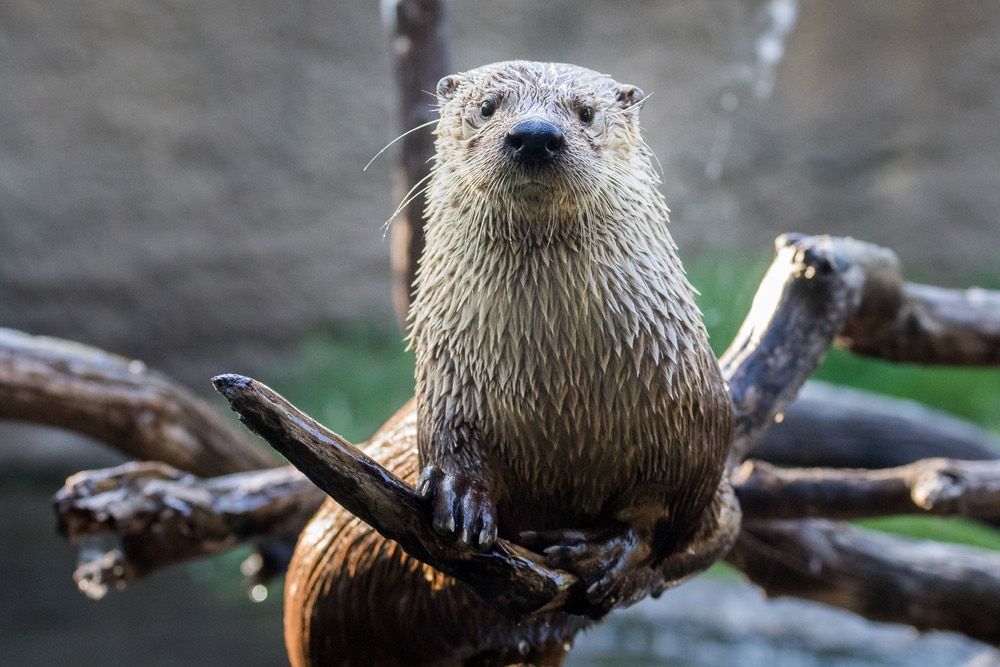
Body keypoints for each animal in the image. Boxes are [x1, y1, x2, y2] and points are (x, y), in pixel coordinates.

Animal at [282, 62, 736, 667]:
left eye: (586, 112)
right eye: (488, 107)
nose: (536, 135)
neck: (562, 396)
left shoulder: (695, 428)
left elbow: (667, 519)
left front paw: (609, 553)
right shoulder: (449, 381)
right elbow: (452, 443)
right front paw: (461, 497)